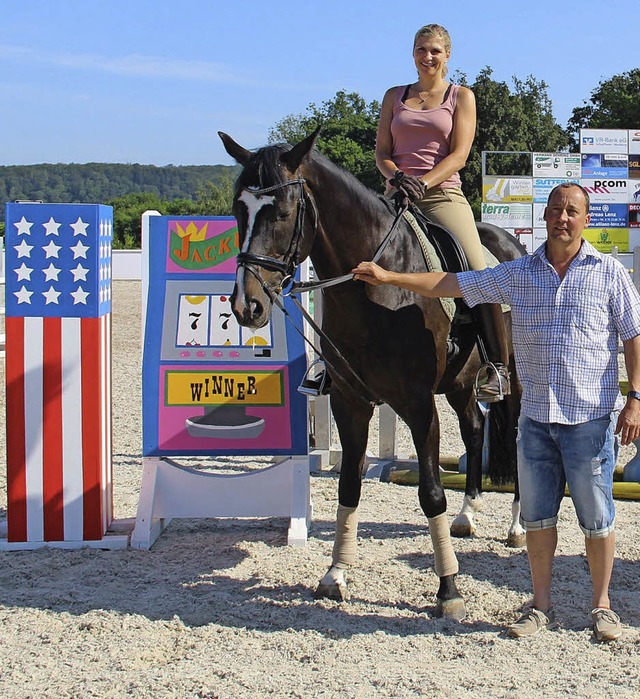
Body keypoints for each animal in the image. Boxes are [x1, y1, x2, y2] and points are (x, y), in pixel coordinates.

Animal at [220, 129, 524, 620]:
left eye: (282, 212)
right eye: (237, 210)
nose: (248, 306)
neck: (377, 282)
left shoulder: (417, 404)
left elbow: (430, 493)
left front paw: (448, 589)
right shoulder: (350, 402)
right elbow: (349, 486)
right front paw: (334, 574)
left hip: (513, 379)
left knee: (513, 438)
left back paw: (517, 527)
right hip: (460, 384)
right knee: (475, 428)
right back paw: (467, 514)